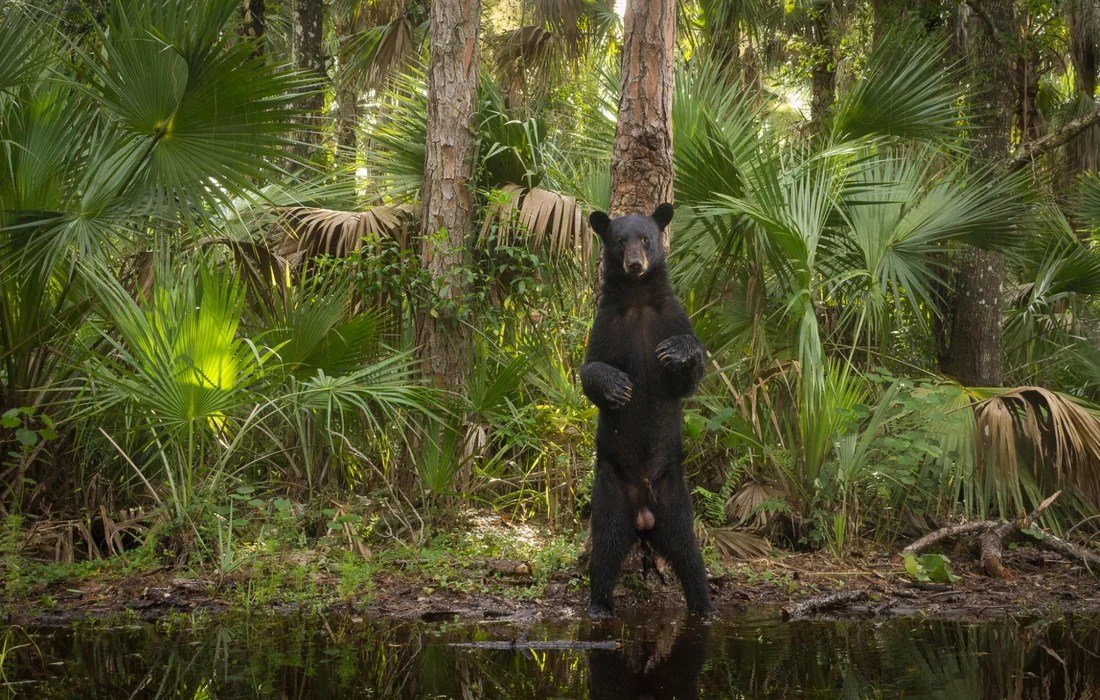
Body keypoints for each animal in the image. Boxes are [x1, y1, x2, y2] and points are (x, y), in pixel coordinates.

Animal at [580, 202, 714, 619]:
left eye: (646, 238)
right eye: (620, 241)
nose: (635, 264)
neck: (638, 298)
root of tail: (643, 516)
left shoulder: (670, 317)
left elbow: (688, 377)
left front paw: (678, 352)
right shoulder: (607, 324)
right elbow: (589, 369)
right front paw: (617, 386)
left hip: (674, 495)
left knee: (689, 554)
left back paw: (705, 606)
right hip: (610, 493)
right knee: (606, 549)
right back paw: (600, 605)